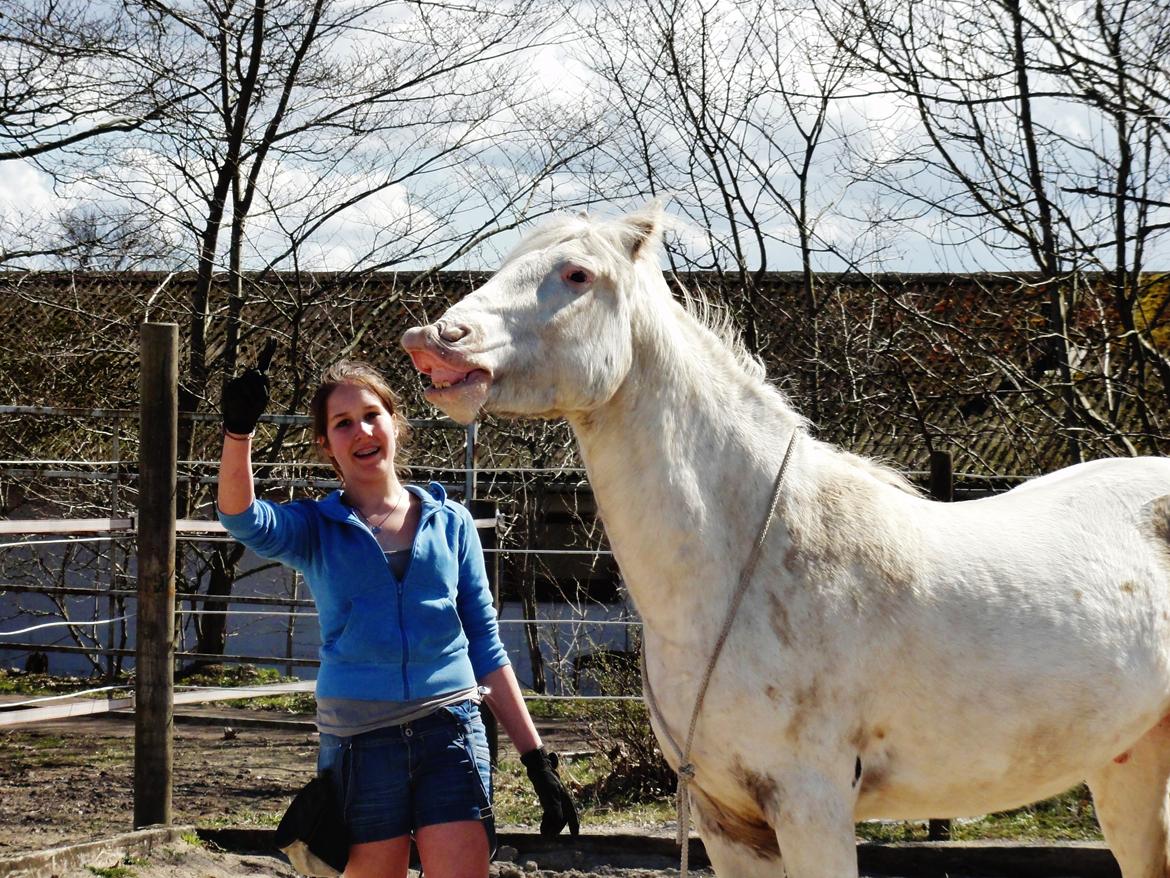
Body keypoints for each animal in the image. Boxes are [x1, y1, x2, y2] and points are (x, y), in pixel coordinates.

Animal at [404, 204, 1170, 878]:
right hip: (1128, 767)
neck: (751, 560)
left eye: (577, 275)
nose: (435, 340)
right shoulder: (729, 824)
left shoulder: (812, 808)